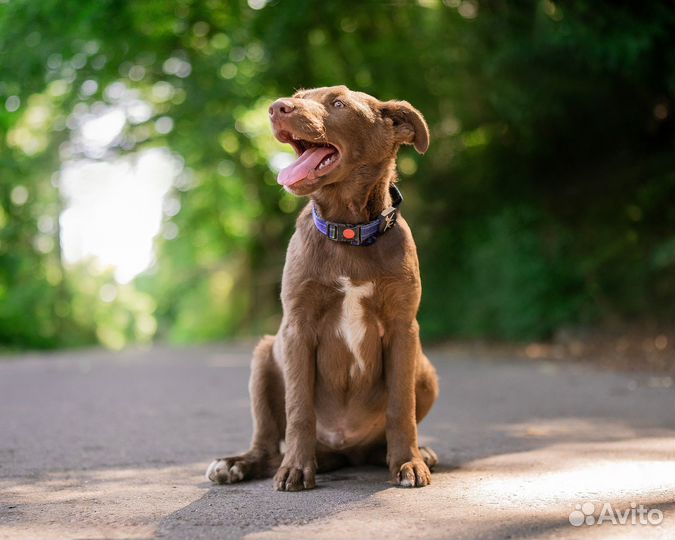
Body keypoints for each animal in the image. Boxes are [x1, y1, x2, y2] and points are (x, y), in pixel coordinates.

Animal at [206, 84, 440, 490]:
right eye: (299, 96)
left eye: (339, 104)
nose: (275, 108)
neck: (348, 231)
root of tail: (347, 450)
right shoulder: (297, 327)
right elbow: (300, 408)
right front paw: (297, 469)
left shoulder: (403, 327)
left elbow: (401, 407)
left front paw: (409, 462)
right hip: (264, 355)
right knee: (267, 443)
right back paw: (239, 464)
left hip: (424, 367)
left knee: (381, 438)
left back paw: (409, 453)